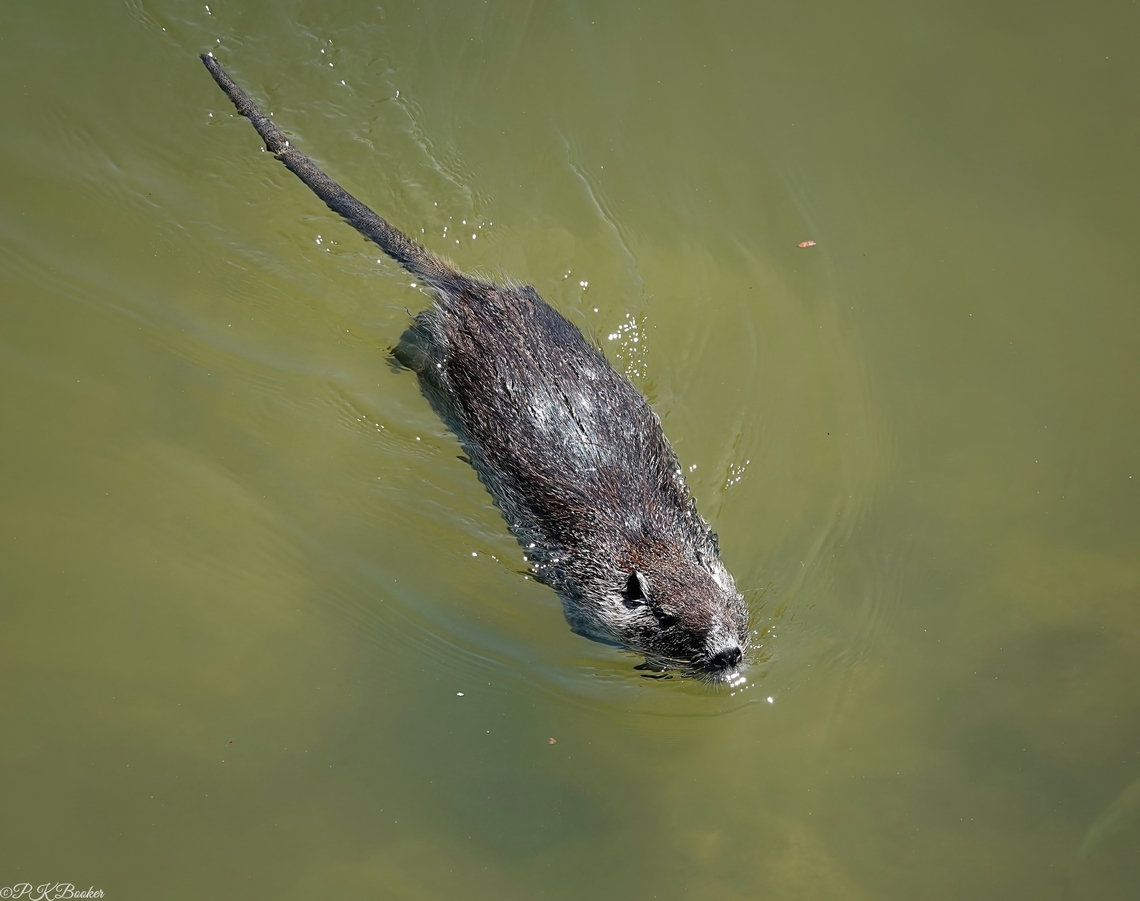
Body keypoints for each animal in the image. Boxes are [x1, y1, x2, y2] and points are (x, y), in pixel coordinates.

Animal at [200, 54, 748, 682]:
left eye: (725, 602)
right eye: (667, 620)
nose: (728, 654)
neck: (642, 540)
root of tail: (466, 290)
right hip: (438, 344)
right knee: (417, 334)